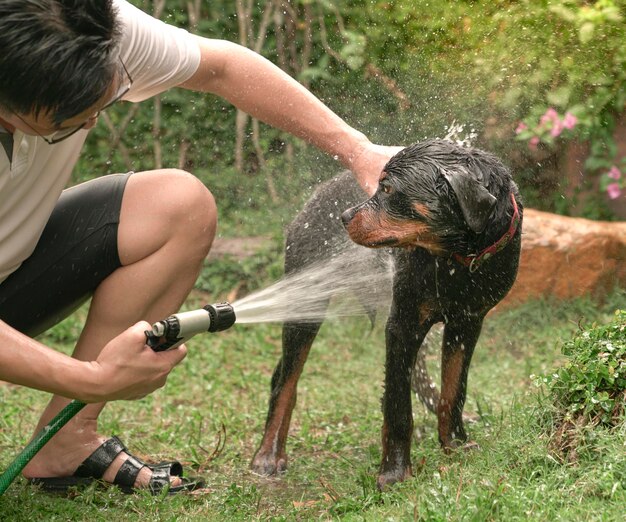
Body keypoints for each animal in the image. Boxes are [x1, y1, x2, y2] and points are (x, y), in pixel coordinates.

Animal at [250, 138, 520, 488]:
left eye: (389, 188)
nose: (344, 216)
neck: (456, 259)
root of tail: (315, 197)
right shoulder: (402, 324)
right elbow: (397, 407)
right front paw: (394, 472)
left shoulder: (467, 322)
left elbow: (454, 390)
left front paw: (455, 444)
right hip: (306, 301)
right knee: (286, 380)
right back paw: (268, 454)